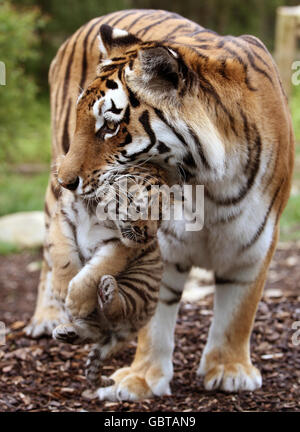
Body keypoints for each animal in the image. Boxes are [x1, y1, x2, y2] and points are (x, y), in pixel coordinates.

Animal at [25, 8, 292, 400]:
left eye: (109, 127)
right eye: (82, 122)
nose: (67, 181)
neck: (210, 186)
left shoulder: (254, 245)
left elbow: (239, 313)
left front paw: (229, 371)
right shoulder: (160, 246)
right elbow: (153, 319)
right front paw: (142, 378)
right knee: (50, 249)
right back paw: (47, 316)